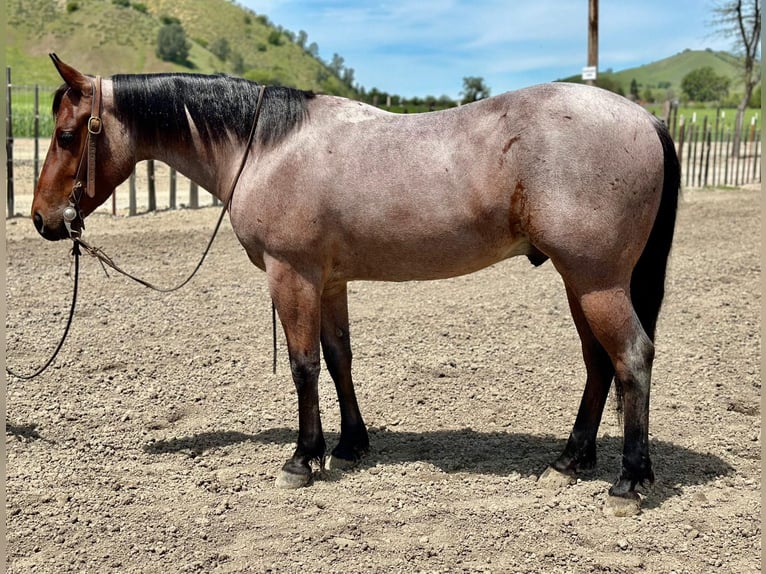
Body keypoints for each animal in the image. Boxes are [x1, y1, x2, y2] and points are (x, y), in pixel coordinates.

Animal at [31, 55, 680, 516]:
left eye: (66, 135)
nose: (41, 219)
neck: (266, 146)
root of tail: (644, 117)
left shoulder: (291, 275)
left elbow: (303, 366)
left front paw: (302, 459)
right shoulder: (330, 282)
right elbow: (339, 358)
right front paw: (349, 445)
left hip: (597, 282)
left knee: (631, 357)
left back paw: (627, 481)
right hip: (580, 283)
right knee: (599, 364)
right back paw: (569, 461)